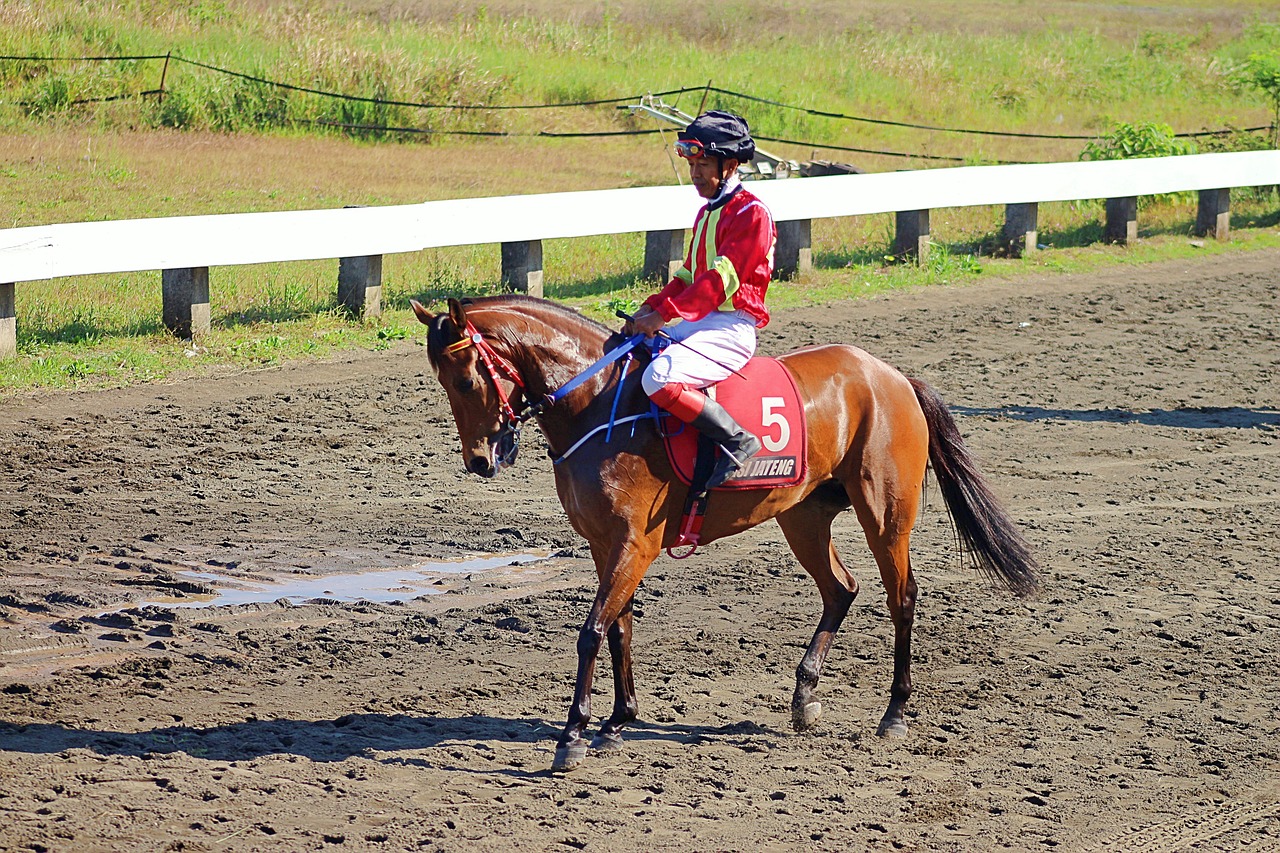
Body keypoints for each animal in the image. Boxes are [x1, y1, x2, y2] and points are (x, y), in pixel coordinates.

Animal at [409, 292, 1039, 768]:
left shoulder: (634, 545)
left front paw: (573, 735)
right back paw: (804, 696)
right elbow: (619, 630)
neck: (599, 405)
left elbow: (592, 632)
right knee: (841, 589)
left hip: (885, 515)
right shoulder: (604, 544)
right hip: (802, 515)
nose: (480, 461)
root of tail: (890, 375)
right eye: (443, 382)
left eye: (464, 380)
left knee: (901, 597)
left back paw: (894, 713)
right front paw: (617, 721)